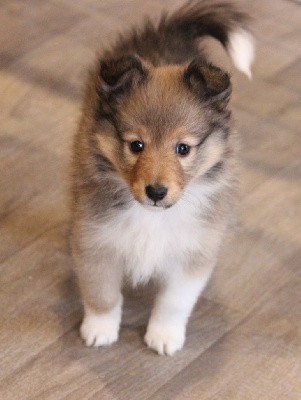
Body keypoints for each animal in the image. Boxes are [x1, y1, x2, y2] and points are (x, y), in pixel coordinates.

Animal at [70, 0, 253, 356]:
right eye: (136, 145)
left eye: (183, 148)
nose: (156, 192)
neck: (152, 217)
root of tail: (167, 33)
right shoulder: (96, 241)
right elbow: (102, 292)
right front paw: (99, 330)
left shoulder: (193, 252)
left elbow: (174, 302)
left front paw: (164, 336)